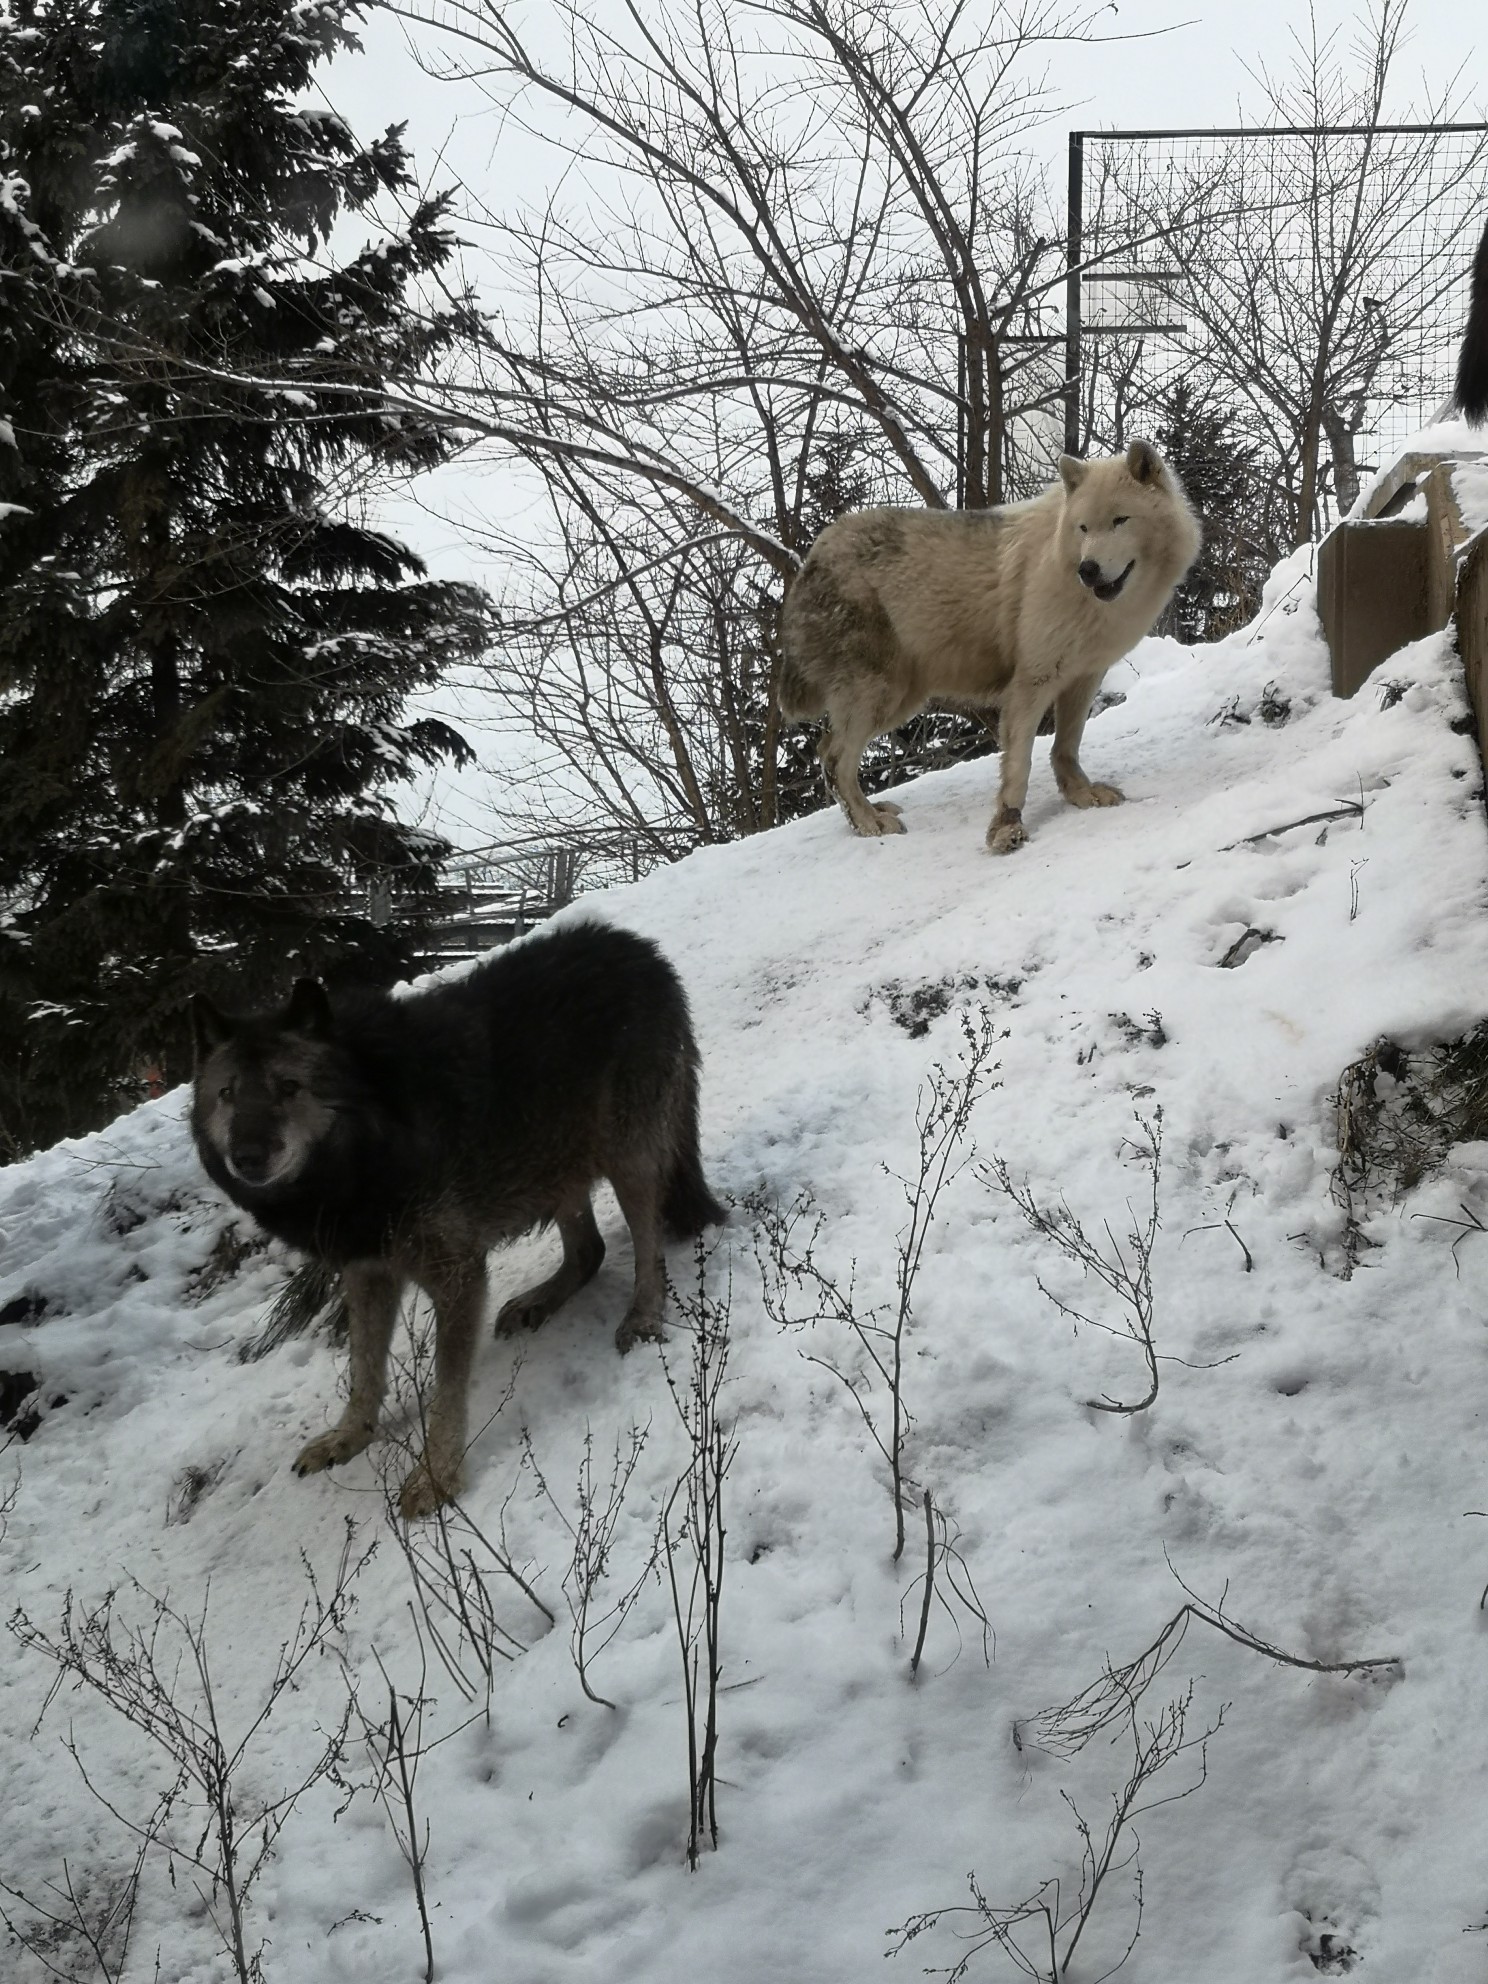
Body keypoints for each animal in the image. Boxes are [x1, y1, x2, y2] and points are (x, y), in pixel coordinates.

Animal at [189, 916, 726, 1515]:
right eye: (228, 1094)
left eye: (288, 1088)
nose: (247, 1157)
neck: (370, 1142)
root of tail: (641, 949)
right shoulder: (367, 1269)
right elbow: (362, 1369)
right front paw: (348, 1437)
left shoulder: (457, 1275)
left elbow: (446, 1391)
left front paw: (435, 1478)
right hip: (549, 1157)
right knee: (590, 1251)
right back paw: (539, 1301)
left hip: (625, 1157)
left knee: (647, 1250)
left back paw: (642, 1319)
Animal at [781, 442, 1198, 853]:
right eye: (1083, 528)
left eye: (1120, 520)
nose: (1088, 569)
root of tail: (812, 558)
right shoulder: (1031, 682)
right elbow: (1019, 765)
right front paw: (1006, 829)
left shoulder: (1084, 677)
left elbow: (1066, 746)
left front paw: (1081, 794)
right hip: (883, 695)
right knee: (835, 758)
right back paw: (869, 823)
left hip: (900, 700)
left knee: (825, 748)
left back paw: (871, 812)